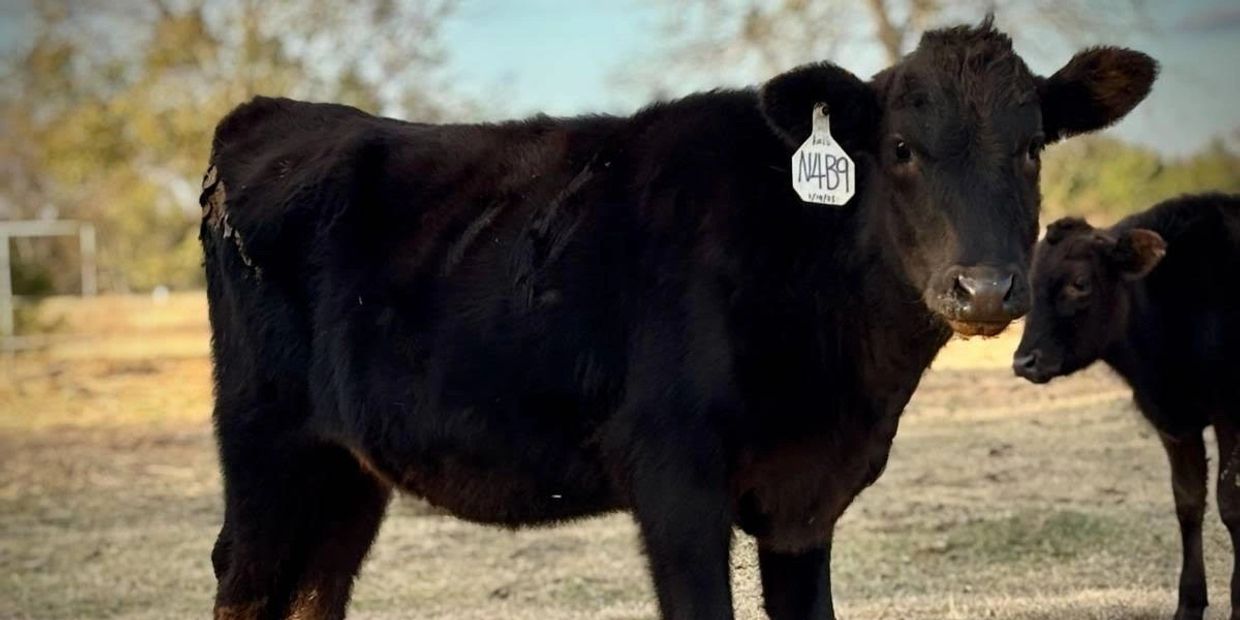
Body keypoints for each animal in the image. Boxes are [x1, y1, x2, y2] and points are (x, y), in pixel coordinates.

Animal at [201, 19, 1156, 620]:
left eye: (1031, 148)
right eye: (900, 149)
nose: (985, 289)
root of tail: (269, 112)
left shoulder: (807, 499)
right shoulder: (676, 483)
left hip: (343, 470)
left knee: (316, 585)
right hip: (263, 444)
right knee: (245, 577)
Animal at [1013, 194, 1240, 620]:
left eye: (1079, 284)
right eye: (1028, 287)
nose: (1024, 362)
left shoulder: (1230, 417)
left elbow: (1230, 503)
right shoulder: (1173, 422)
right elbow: (1188, 502)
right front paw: (1189, 604)